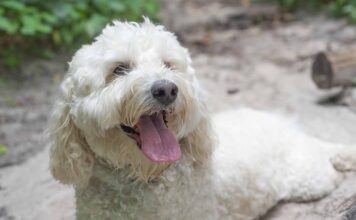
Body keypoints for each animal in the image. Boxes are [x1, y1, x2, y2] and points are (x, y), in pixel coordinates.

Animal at [48, 19, 356, 220]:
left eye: (168, 65)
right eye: (119, 69)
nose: (167, 89)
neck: (147, 178)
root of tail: (292, 129)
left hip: (308, 181)